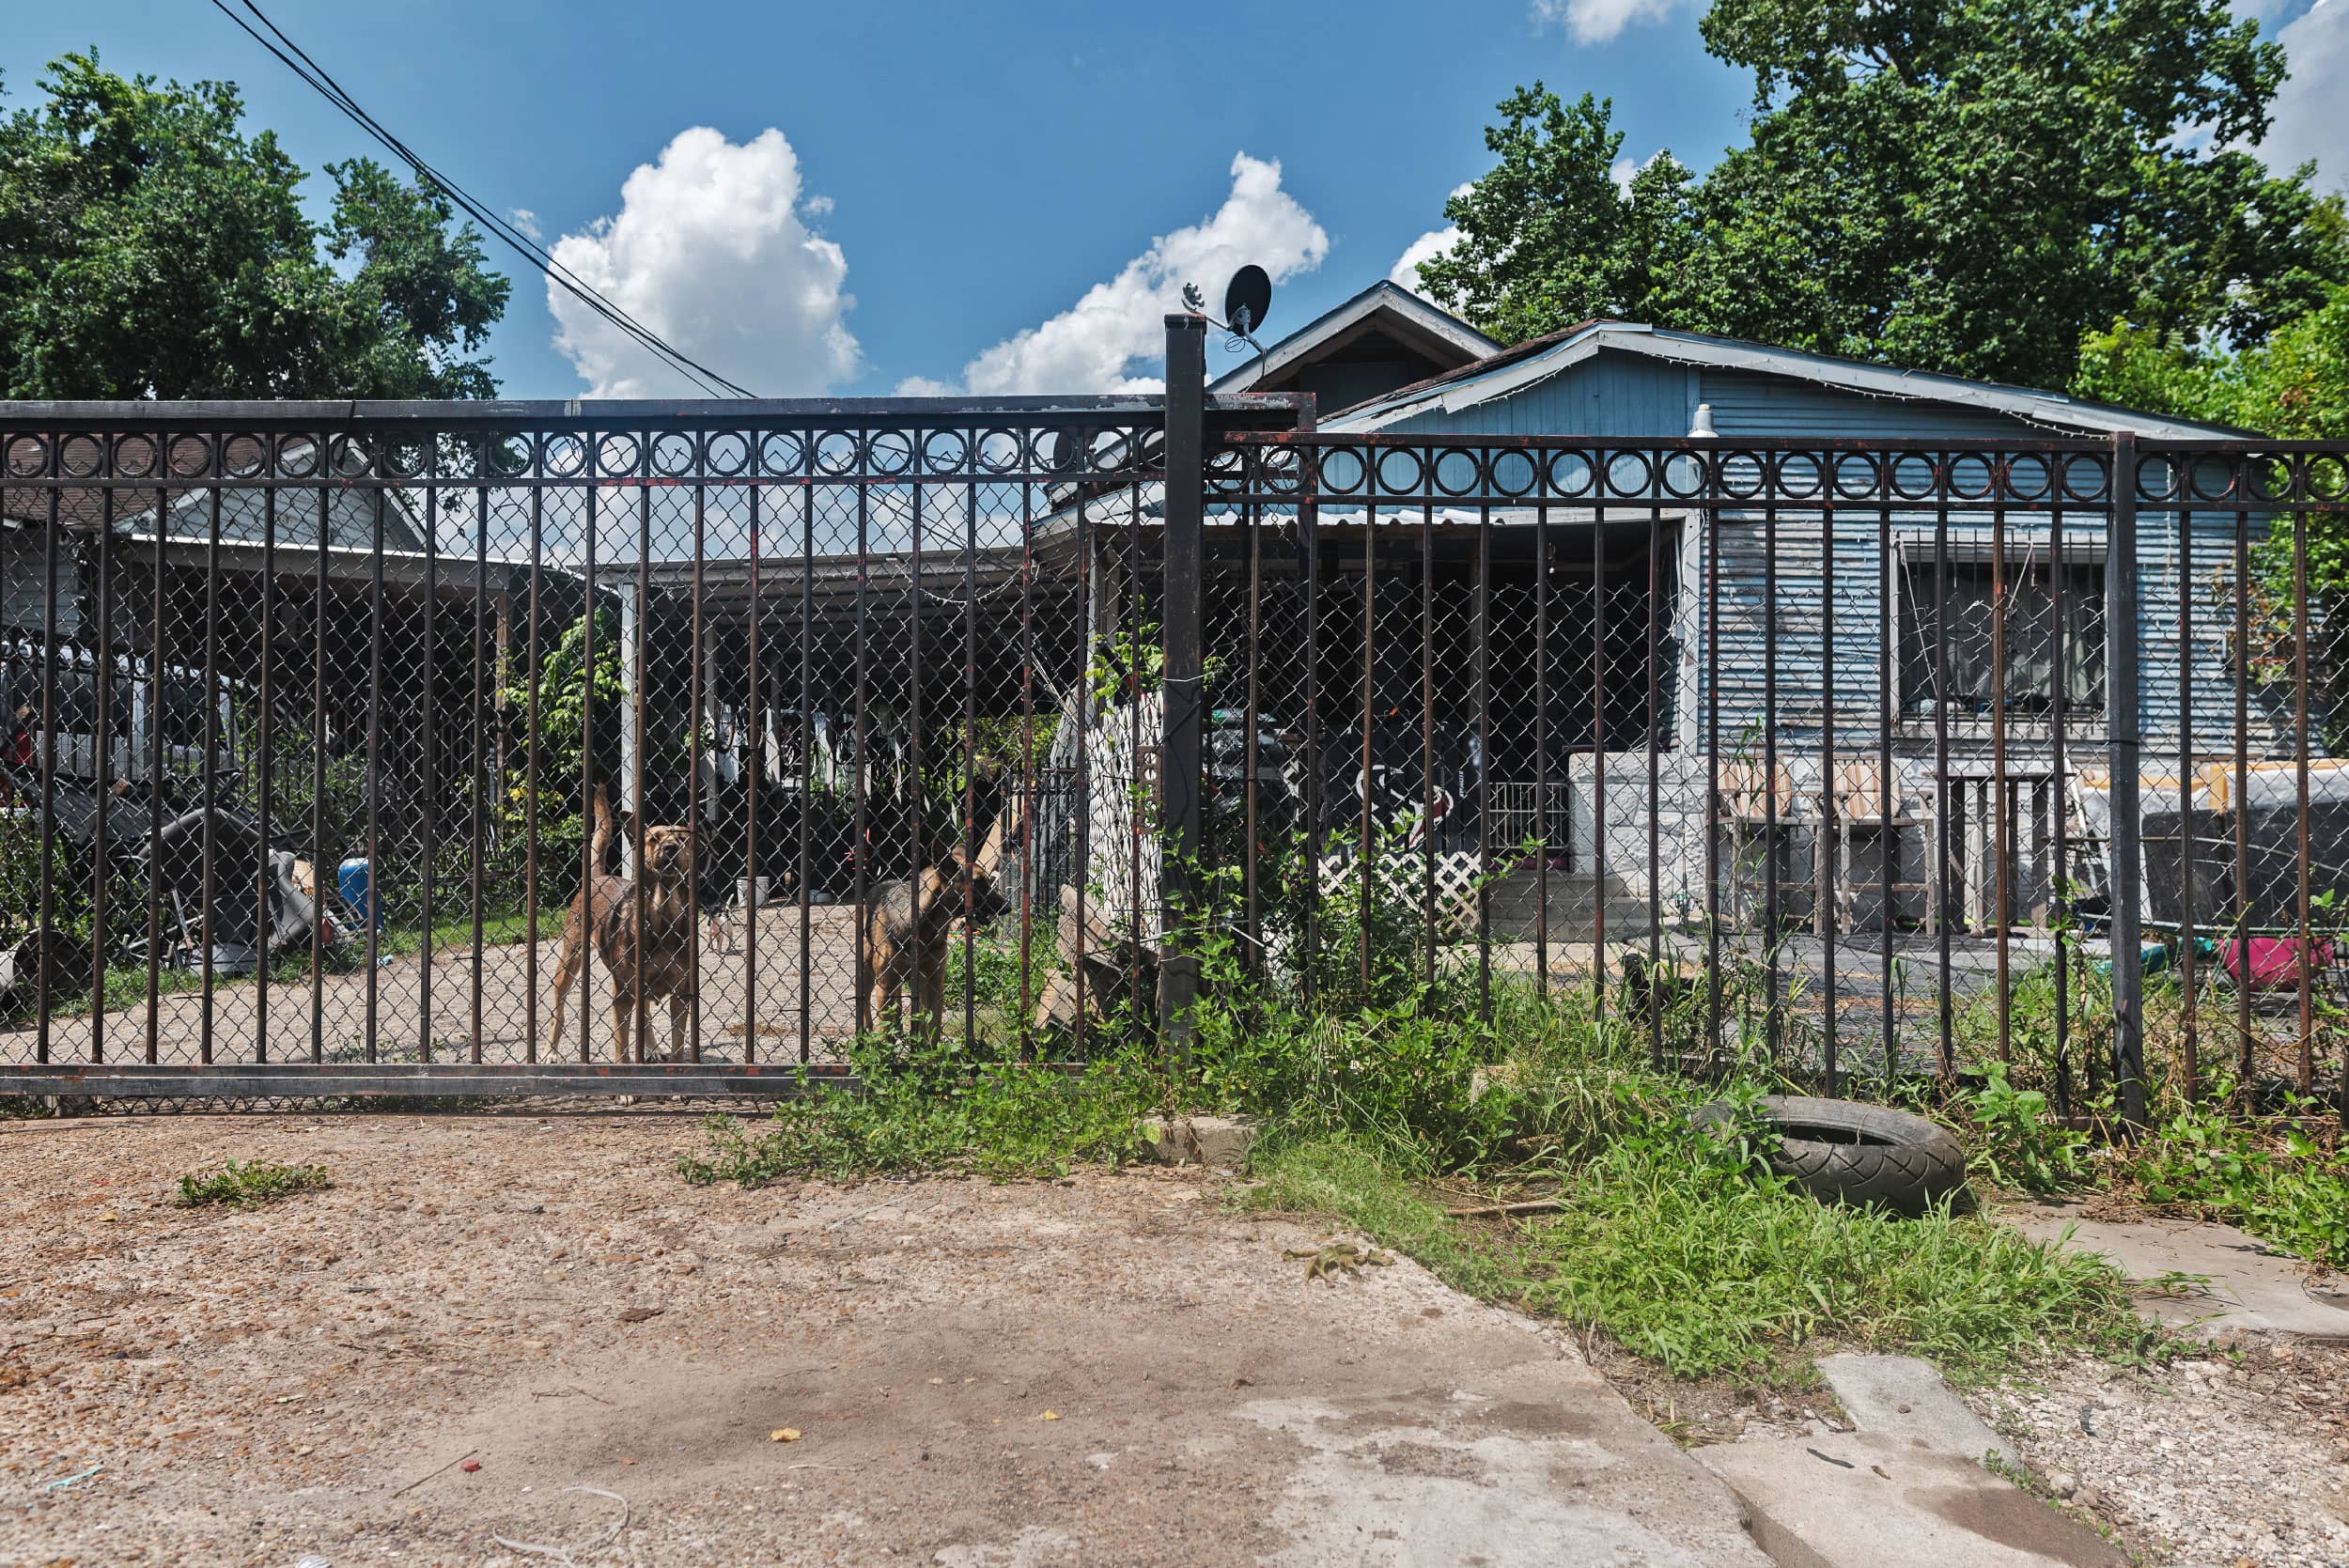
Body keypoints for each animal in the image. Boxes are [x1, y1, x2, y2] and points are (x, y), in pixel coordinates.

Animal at [547, 788, 695, 1061]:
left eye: (682, 839)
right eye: (654, 839)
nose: (670, 847)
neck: (663, 917)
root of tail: (598, 876)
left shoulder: (681, 995)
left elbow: (678, 1046)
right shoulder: (623, 995)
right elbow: (622, 1047)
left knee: (645, 1014)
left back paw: (653, 1048)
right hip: (569, 959)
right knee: (558, 1010)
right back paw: (550, 1051)